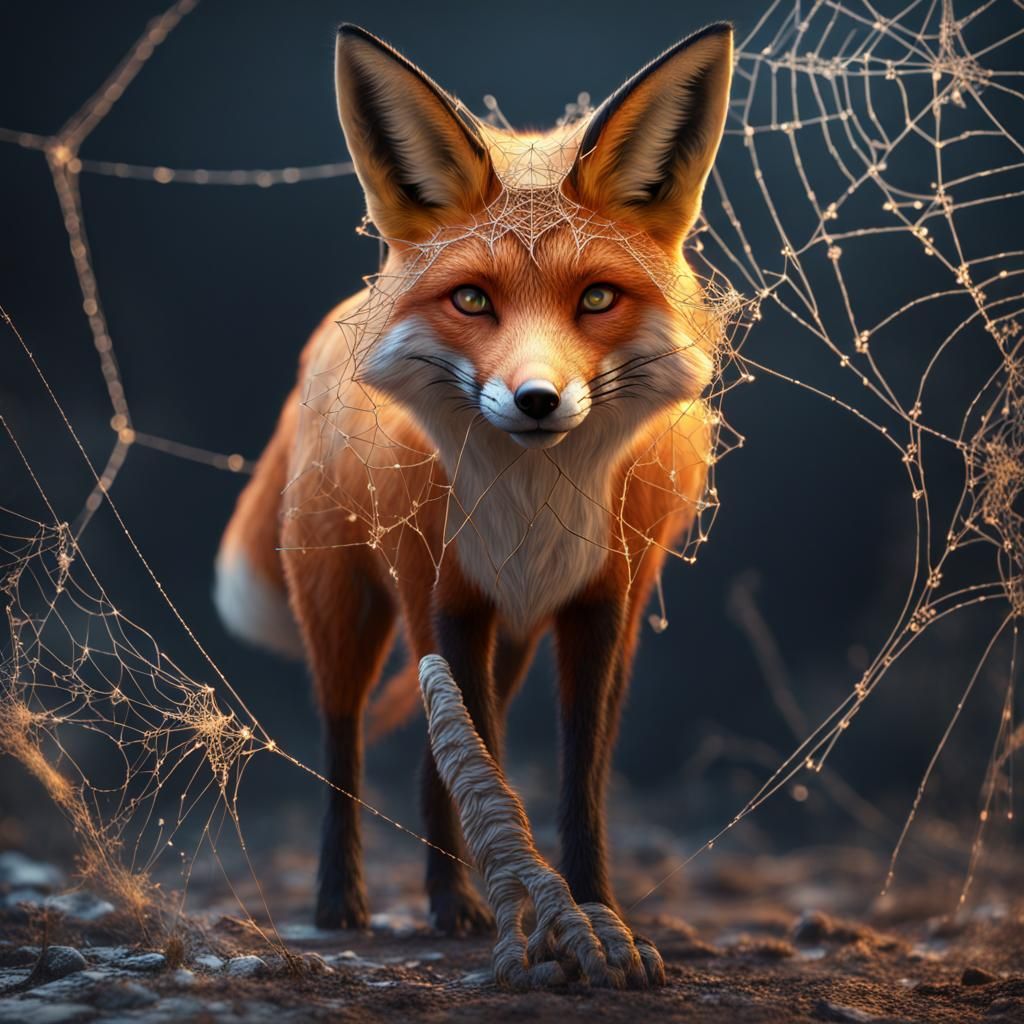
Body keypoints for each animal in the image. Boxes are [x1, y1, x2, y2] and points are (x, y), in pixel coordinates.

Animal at [215, 22, 733, 934]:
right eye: (472, 300)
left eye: (596, 298)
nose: (536, 399)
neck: (533, 511)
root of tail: (331, 332)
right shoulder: (449, 597)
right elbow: (477, 765)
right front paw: (520, 908)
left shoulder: (605, 605)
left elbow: (579, 776)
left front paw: (595, 908)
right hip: (350, 606)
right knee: (345, 746)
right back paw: (346, 901)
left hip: (509, 639)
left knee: (431, 766)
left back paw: (447, 898)